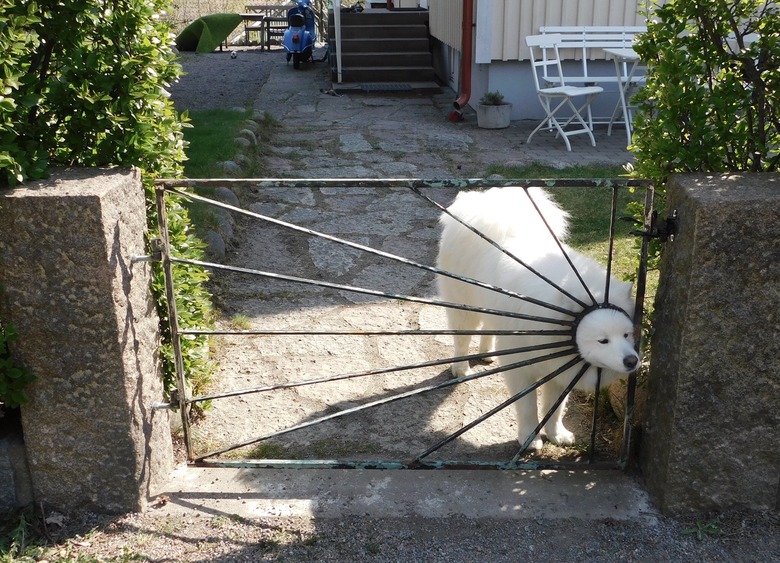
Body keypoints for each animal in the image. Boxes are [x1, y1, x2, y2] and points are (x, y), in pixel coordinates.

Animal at [436, 187, 636, 452]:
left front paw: (557, 434)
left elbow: (556, 406)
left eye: (626, 334)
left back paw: (487, 353)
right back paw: (460, 368)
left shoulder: (561, 367)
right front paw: (530, 438)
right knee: (462, 337)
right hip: (463, 304)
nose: (632, 360)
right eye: (603, 340)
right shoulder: (522, 368)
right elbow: (528, 407)